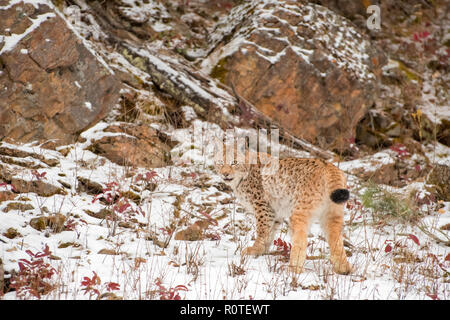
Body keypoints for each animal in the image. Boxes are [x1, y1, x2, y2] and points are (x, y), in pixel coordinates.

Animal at [216, 144, 354, 274]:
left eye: (234, 162)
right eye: (220, 163)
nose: (225, 174)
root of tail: (328, 165)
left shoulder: (262, 206)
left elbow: (262, 230)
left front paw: (255, 250)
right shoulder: (275, 210)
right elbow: (270, 232)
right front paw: (262, 251)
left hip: (299, 211)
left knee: (301, 239)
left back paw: (293, 269)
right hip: (332, 212)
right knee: (335, 238)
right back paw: (344, 269)